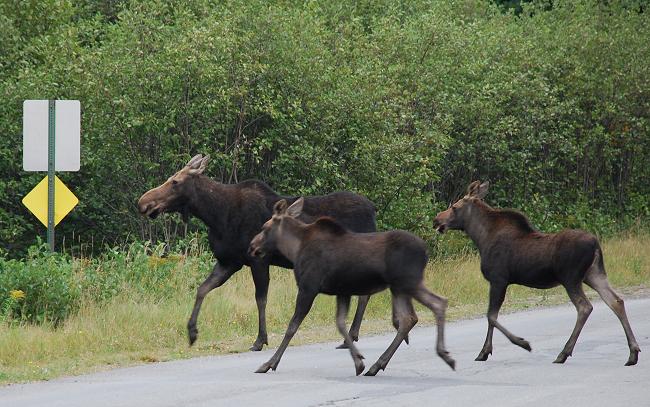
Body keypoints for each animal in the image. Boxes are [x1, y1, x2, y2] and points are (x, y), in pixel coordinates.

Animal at [137, 155, 374, 352]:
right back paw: (350, 336)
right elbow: (202, 289)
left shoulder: (257, 260)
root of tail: (373, 209)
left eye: (175, 182)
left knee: (365, 294)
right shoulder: (229, 262)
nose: (142, 202)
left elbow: (261, 298)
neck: (216, 215)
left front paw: (260, 340)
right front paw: (192, 333)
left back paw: (350, 336)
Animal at [248, 198, 456, 376]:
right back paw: (379, 365)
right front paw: (358, 361)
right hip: (400, 287)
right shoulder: (342, 291)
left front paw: (269, 364)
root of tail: (425, 251)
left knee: (435, 304)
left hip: (408, 282)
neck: (294, 248)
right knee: (411, 317)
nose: (252, 246)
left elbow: (292, 326)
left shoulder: (308, 287)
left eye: (264, 228)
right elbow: (340, 324)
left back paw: (442, 355)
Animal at [432, 182, 640, 366]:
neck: (481, 238)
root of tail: (595, 244)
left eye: (455, 207)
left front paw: (517, 344)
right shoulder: (499, 282)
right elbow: (492, 316)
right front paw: (485, 352)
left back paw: (563, 353)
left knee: (585, 307)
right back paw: (633, 353)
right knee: (616, 300)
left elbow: (491, 316)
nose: (436, 220)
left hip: (571, 278)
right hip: (594, 274)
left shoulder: (499, 279)